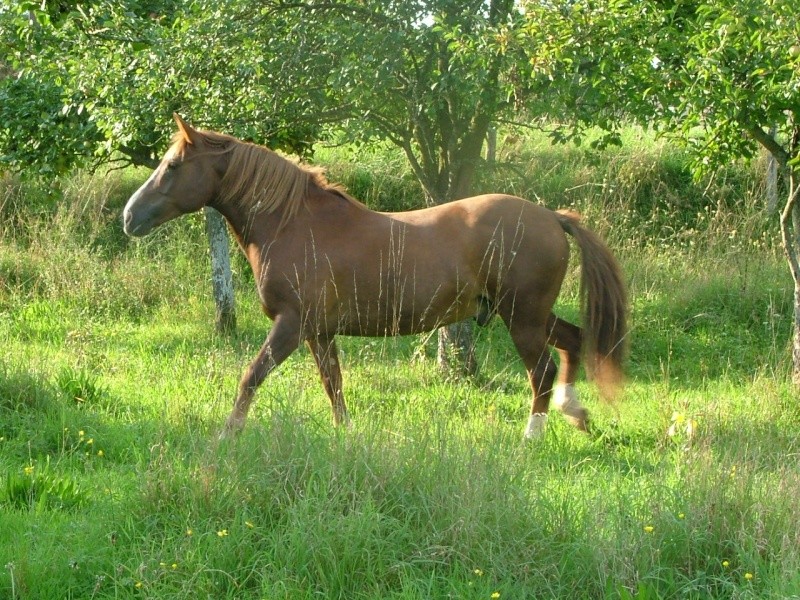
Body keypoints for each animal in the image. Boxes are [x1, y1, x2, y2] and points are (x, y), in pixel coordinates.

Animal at [123, 115, 624, 438]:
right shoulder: (319, 332)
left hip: (521, 317)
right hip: (528, 314)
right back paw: (576, 413)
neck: (292, 223)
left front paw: (228, 434)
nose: (130, 216)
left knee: (542, 371)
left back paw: (531, 436)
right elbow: (333, 384)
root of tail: (551, 216)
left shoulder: (292, 325)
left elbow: (252, 375)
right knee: (573, 342)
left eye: (172, 165)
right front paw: (345, 434)